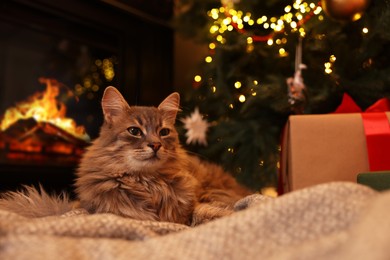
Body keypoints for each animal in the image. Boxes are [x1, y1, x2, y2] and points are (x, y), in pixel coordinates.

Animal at [0, 87, 250, 225]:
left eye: (164, 132)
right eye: (134, 131)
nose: (155, 145)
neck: (146, 183)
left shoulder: (192, 206)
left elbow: (204, 213)